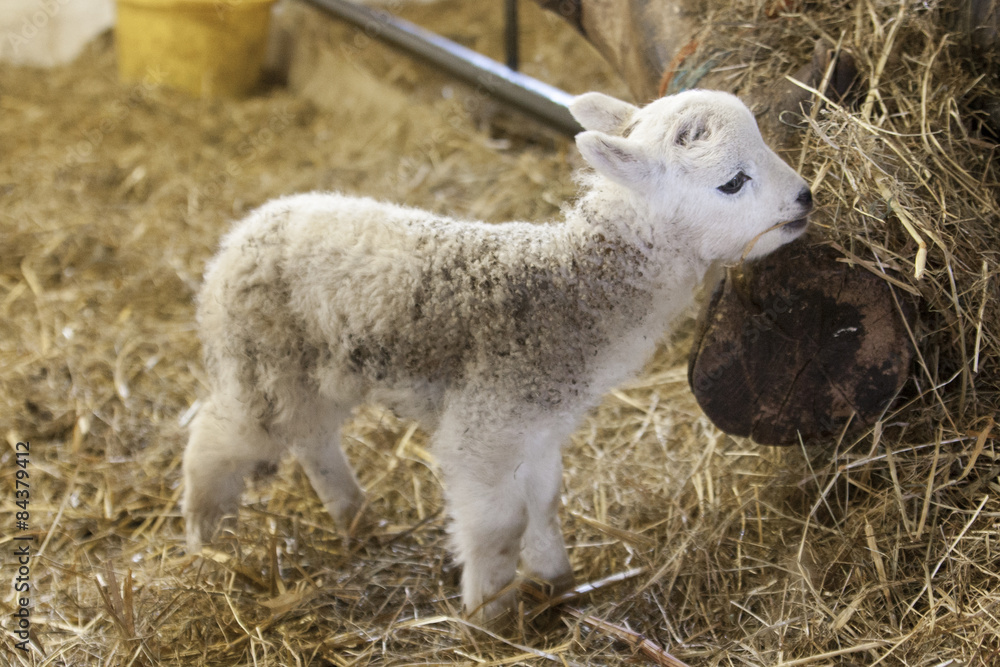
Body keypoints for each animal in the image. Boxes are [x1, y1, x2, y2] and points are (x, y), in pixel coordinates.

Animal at [182, 89, 814, 625]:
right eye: (732, 183)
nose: (806, 196)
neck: (574, 289)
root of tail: (240, 233)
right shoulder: (487, 425)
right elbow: (499, 526)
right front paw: (490, 615)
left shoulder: (538, 424)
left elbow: (545, 504)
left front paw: (557, 582)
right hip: (261, 360)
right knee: (217, 434)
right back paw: (206, 541)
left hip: (319, 371)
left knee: (311, 437)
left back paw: (356, 520)